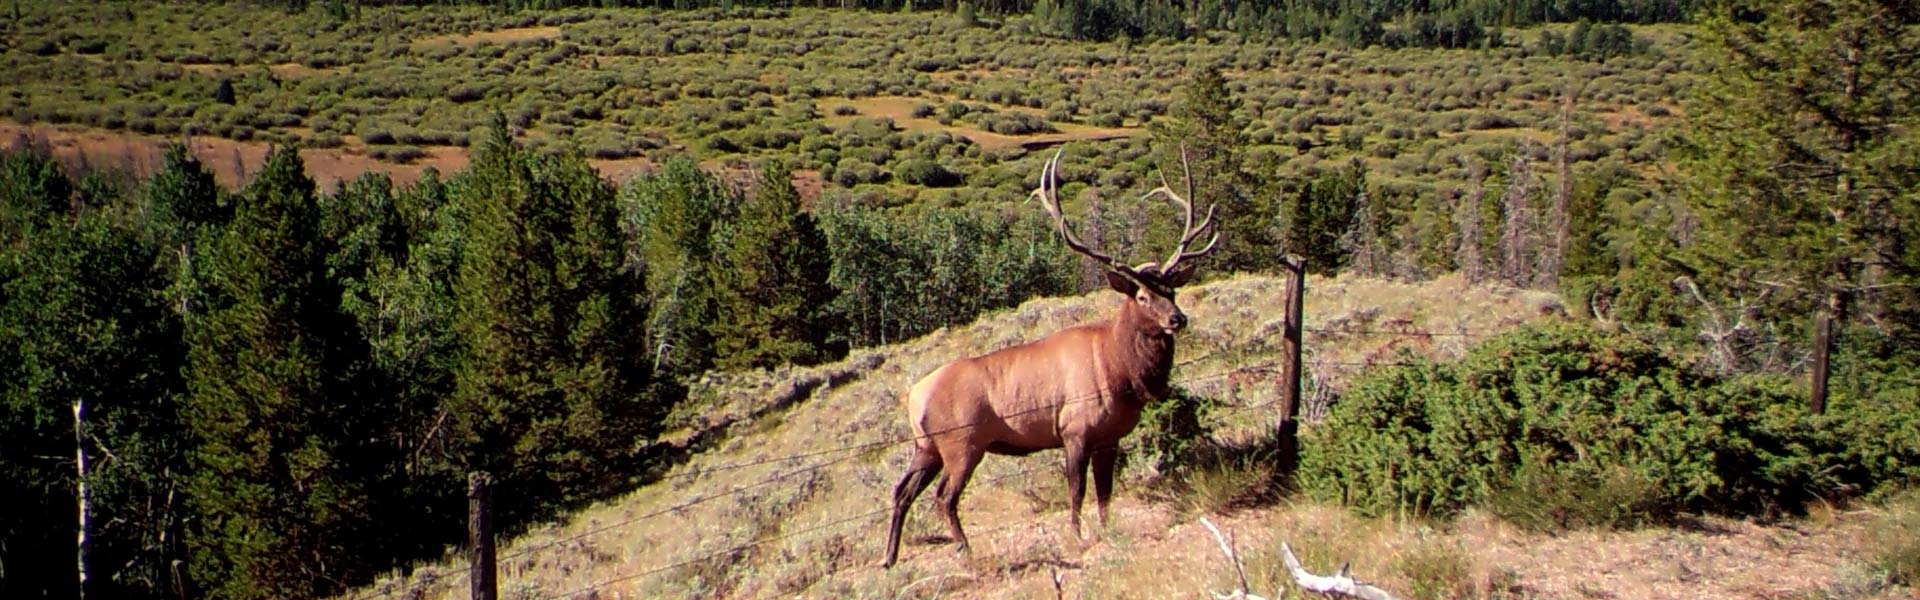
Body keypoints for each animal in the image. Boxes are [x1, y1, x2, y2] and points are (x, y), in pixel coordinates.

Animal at [879, 150, 1213, 565]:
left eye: (1172, 291)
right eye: (1142, 296)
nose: (1177, 319)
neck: (1123, 374)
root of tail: (912, 397)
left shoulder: (1110, 436)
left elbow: (1106, 492)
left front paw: (1108, 532)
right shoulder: (1075, 429)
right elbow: (1077, 491)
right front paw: (1077, 537)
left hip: (926, 447)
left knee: (901, 491)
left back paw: (890, 558)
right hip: (962, 444)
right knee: (944, 497)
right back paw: (965, 549)